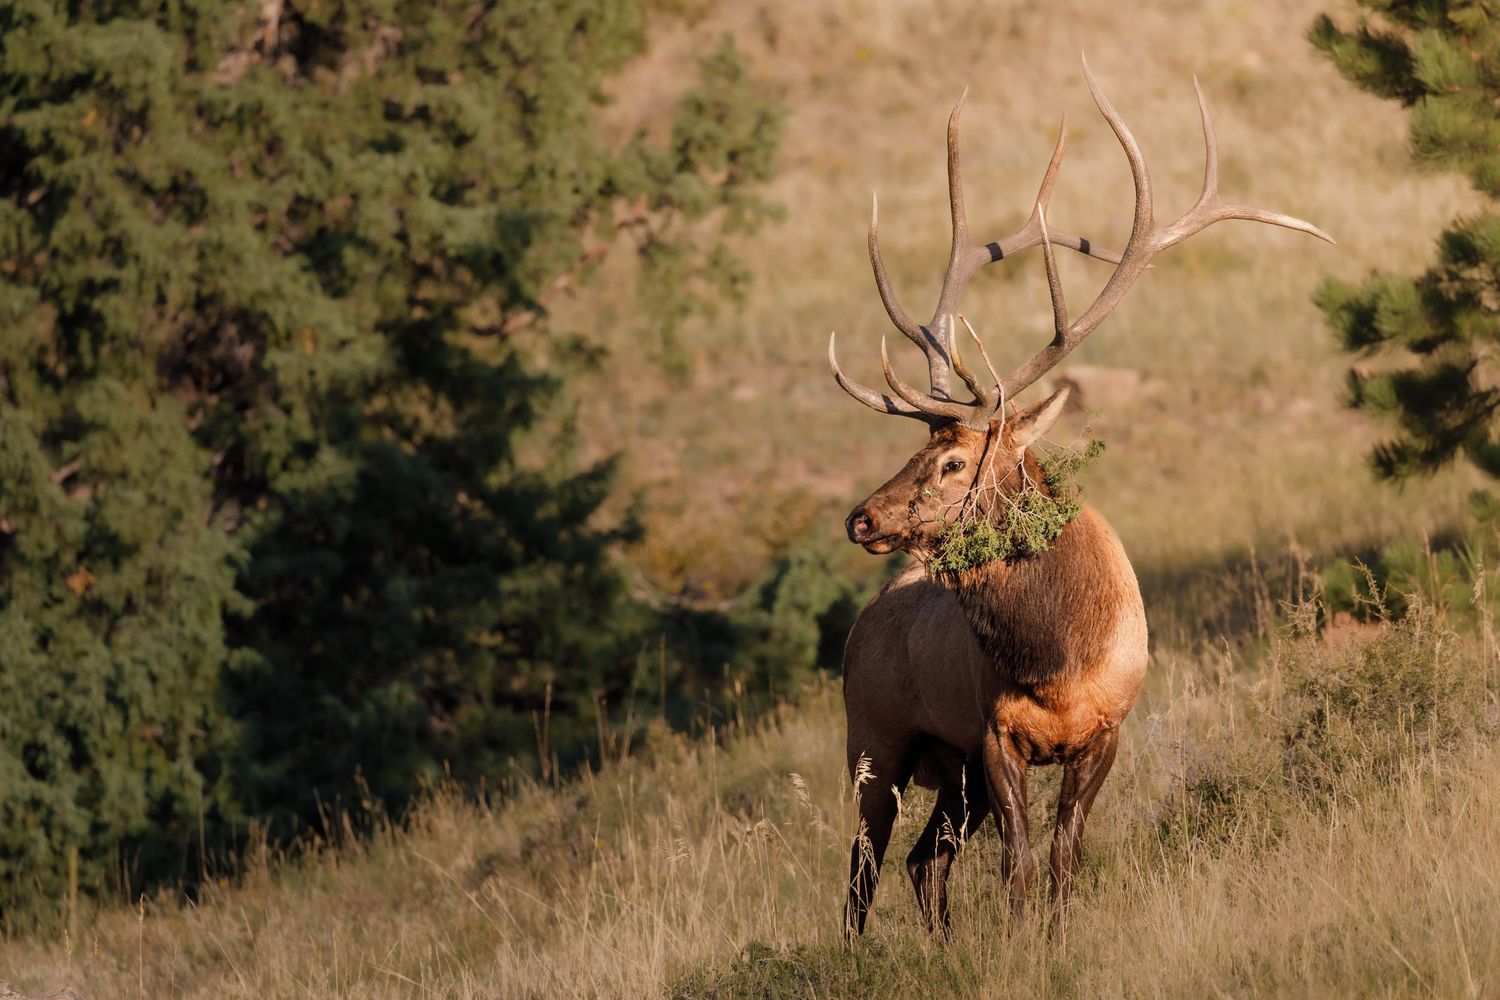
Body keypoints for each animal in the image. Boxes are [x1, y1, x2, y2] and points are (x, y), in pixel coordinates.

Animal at [830, 58, 1333, 939]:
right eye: (913, 451)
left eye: (954, 461)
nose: (863, 516)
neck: (1058, 658)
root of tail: (862, 625)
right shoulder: (993, 736)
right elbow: (1021, 864)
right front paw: (1020, 944)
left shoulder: (1104, 732)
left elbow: (1063, 857)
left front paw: (1054, 941)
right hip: (874, 738)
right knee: (861, 871)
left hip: (946, 771)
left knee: (924, 861)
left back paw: (938, 946)